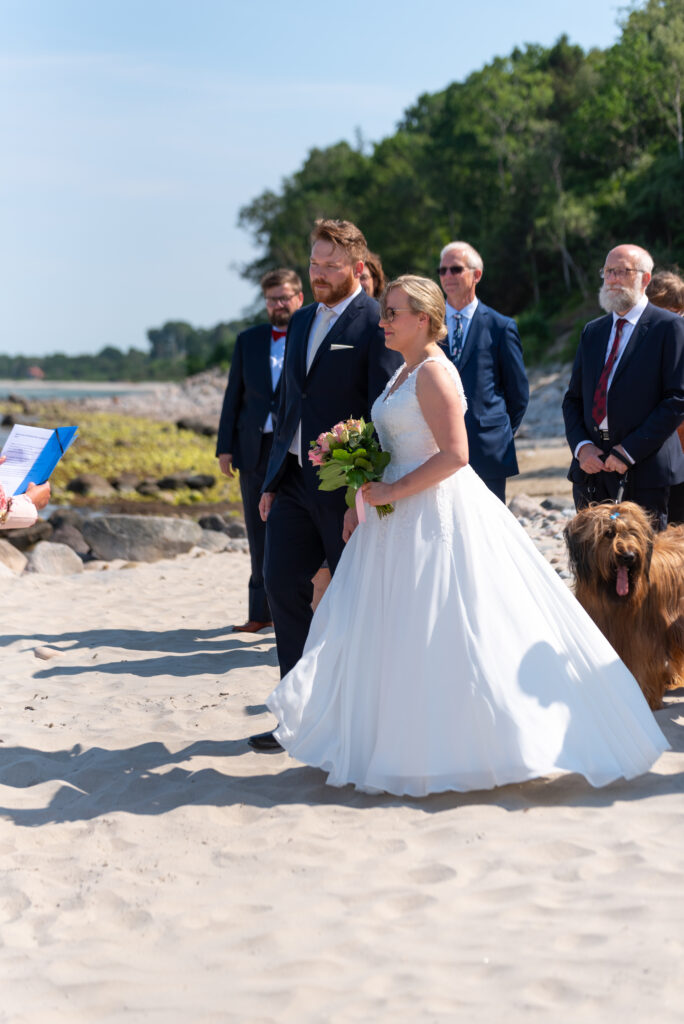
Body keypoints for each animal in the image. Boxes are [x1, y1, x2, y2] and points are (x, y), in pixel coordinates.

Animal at [565, 499, 684, 708]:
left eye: (632, 532)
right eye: (608, 533)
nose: (629, 556)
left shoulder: (642, 638)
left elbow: (644, 664)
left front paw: (643, 697)